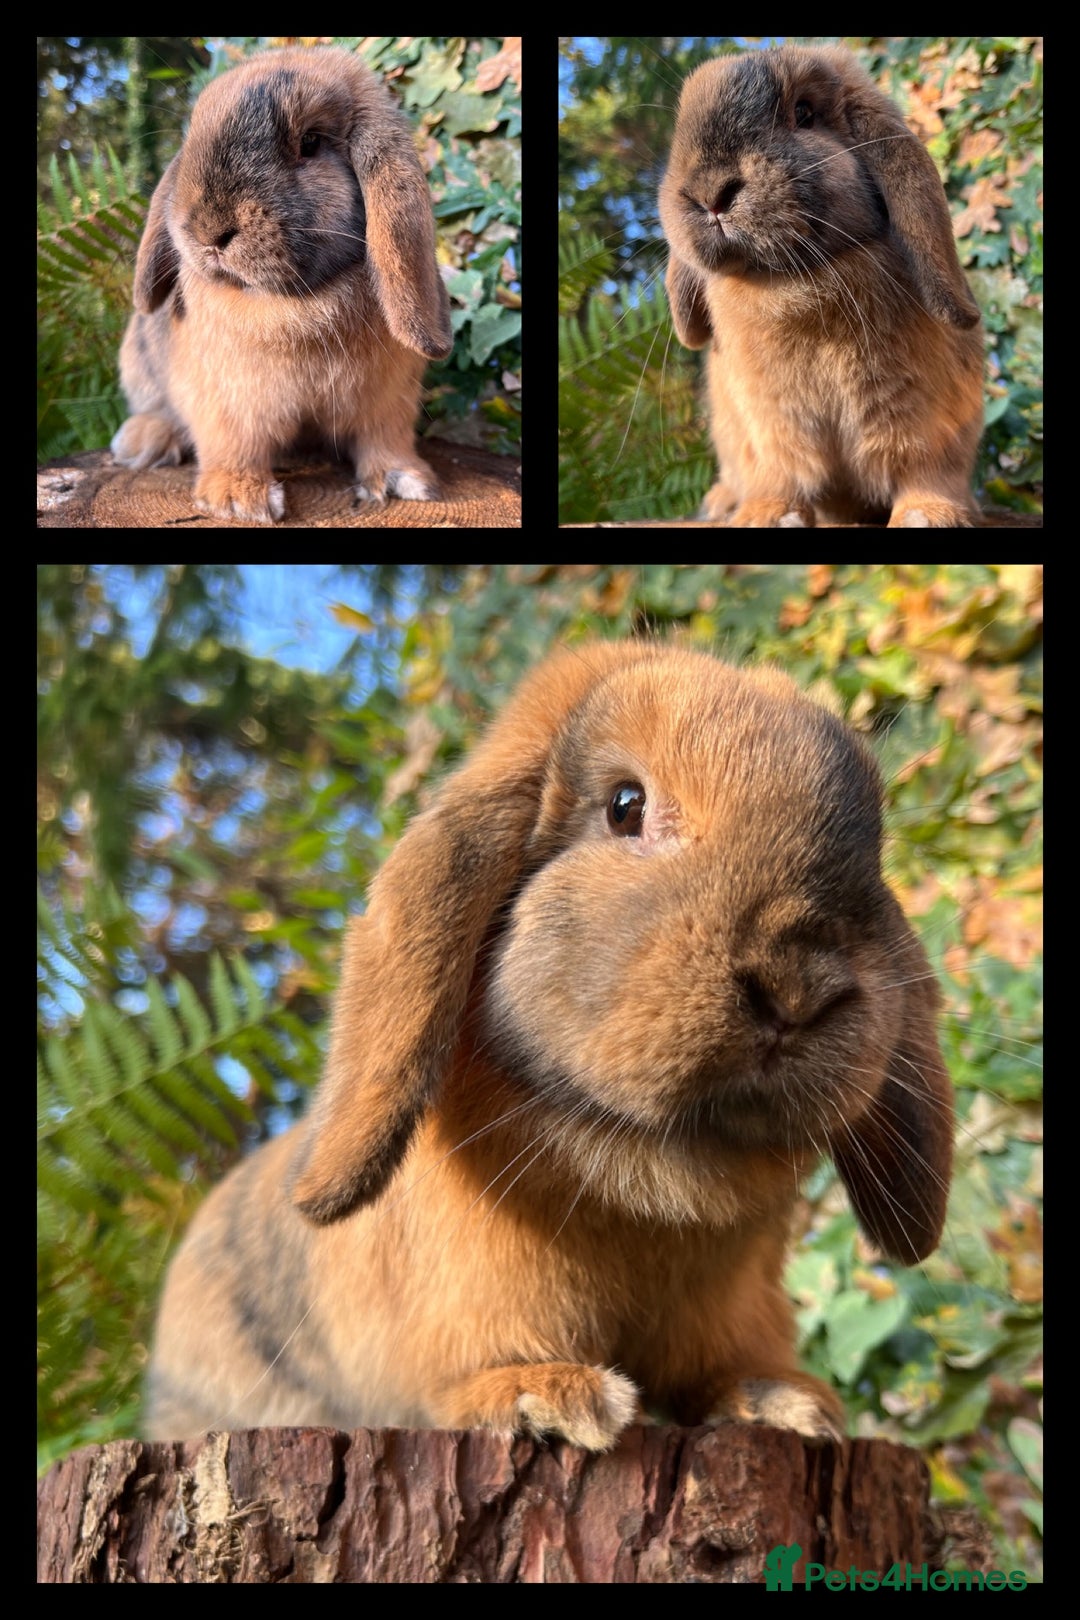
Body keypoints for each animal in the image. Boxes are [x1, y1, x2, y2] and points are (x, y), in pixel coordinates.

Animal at [110, 47, 452, 525]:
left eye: (310, 142)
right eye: (193, 134)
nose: (208, 230)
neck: (292, 302)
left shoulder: (388, 402)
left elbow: (385, 439)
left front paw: (403, 481)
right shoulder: (226, 402)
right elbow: (233, 446)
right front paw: (238, 499)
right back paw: (143, 441)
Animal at [146, 639, 954, 1448]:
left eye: (873, 850)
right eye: (625, 805)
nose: (797, 989)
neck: (658, 1173)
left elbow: (718, 1371)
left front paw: (785, 1401)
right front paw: (547, 1395)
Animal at [658, 44, 984, 528]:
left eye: (804, 113)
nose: (709, 193)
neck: (792, 285)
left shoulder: (931, 423)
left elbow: (927, 469)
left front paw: (925, 515)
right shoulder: (770, 427)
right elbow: (778, 474)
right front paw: (766, 516)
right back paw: (722, 503)